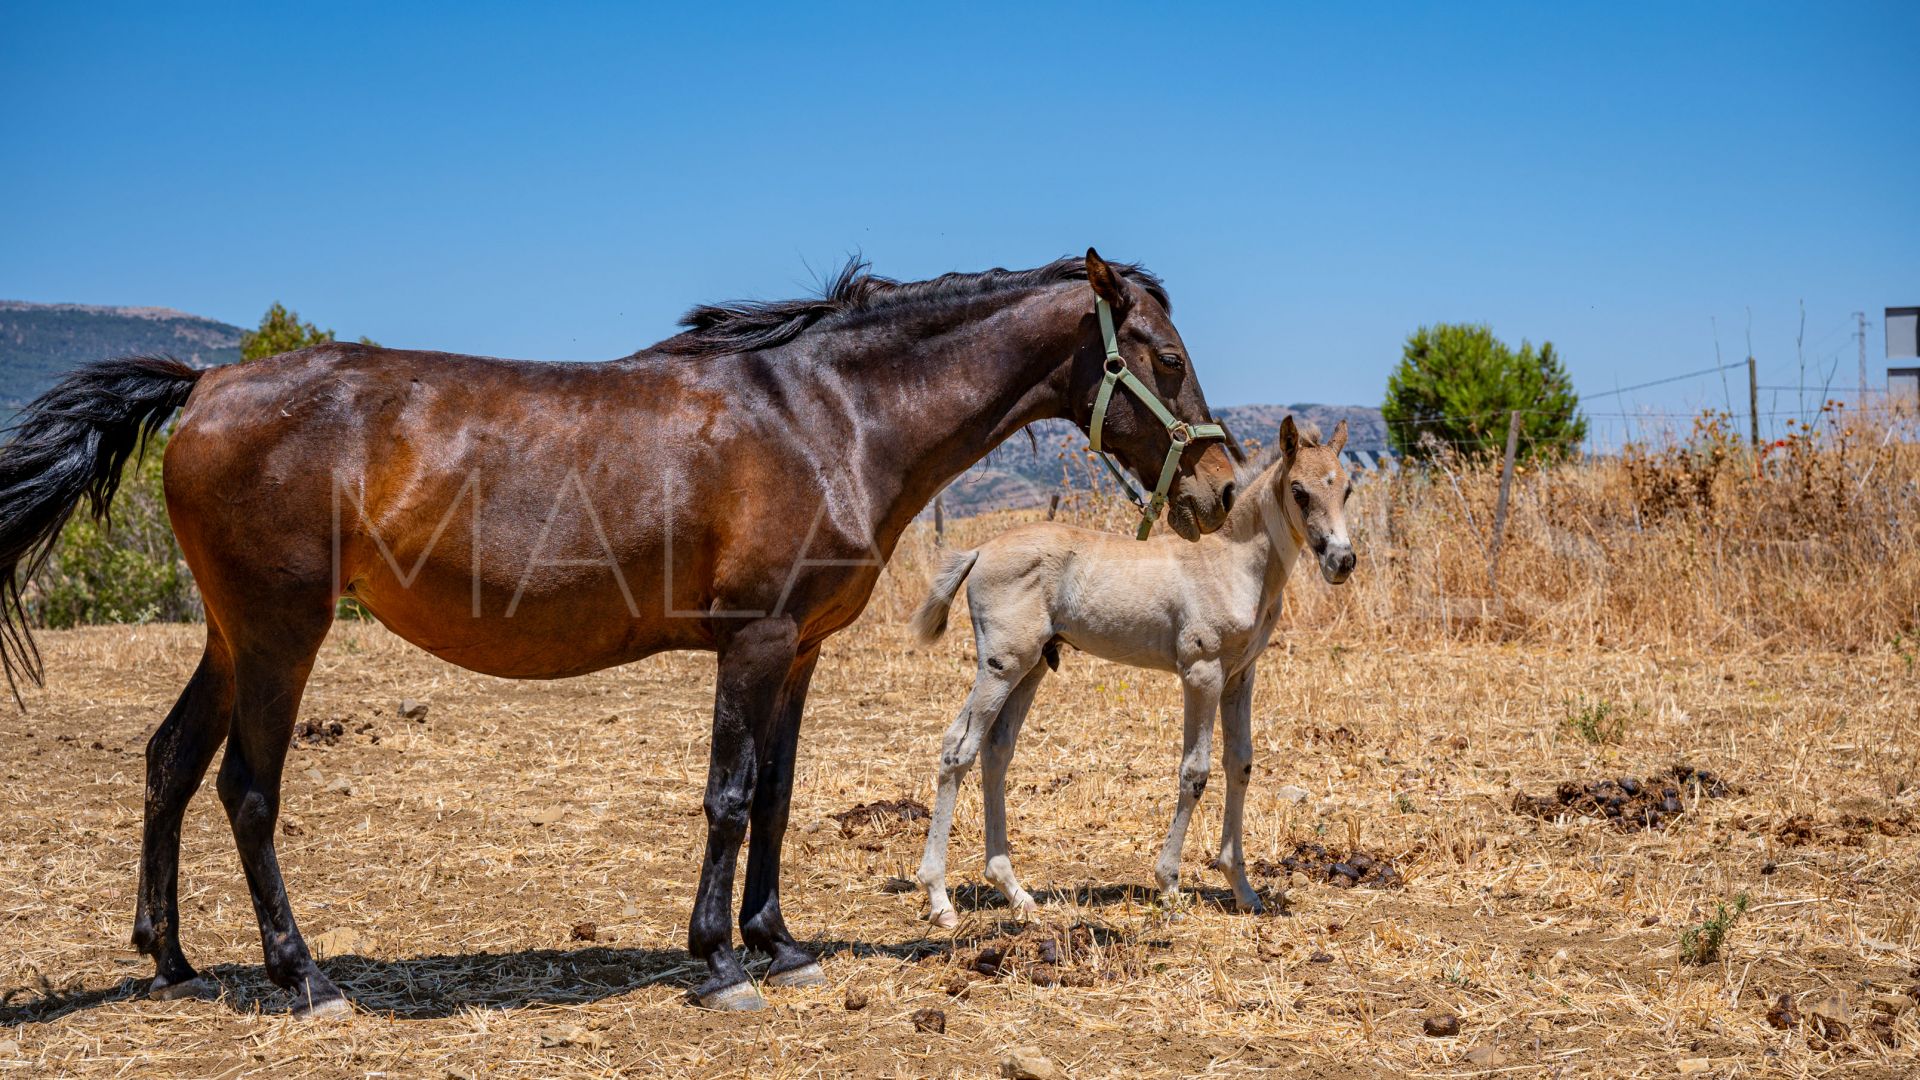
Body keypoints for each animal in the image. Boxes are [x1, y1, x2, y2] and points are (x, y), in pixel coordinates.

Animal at [0, 249, 1228, 1006]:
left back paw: (172, 959)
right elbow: (729, 797)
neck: (829, 414)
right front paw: (717, 962)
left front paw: (780, 946)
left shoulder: (801, 653)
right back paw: (303, 978)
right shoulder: (754, 644)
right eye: (1165, 356)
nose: (1217, 491)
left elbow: (777, 798)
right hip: (280, 635)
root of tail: (206, 385)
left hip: (232, 634)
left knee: (168, 761)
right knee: (246, 791)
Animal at [910, 413, 1351, 926]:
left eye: (1346, 489)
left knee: (996, 750)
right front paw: (1169, 885)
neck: (1234, 564)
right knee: (957, 747)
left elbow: (1239, 764)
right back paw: (938, 898)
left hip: (1031, 666)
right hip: (1000, 667)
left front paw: (1242, 889)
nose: (1342, 560)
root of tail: (979, 550)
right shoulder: (1201, 673)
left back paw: (1014, 890)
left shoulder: (1241, 675)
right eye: (1299, 491)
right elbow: (1195, 771)